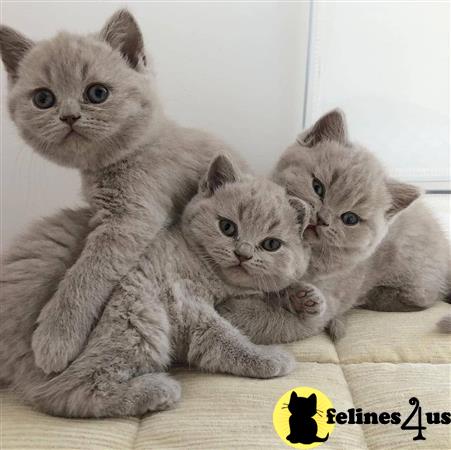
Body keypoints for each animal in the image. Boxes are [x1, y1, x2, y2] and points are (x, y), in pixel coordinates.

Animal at [0, 8, 247, 374]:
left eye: (97, 93)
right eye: (43, 99)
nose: (69, 116)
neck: (138, 148)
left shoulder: (131, 218)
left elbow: (86, 274)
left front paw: (55, 338)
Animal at [0, 156, 310, 420]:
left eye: (271, 244)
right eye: (227, 227)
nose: (243, 254)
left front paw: (303, 303)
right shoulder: (180, 299)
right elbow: (223, 336)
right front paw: (269, 358)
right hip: (135, 314)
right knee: (62, 392)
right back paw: (157, 389)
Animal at [220, 109, 451, 342]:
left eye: (350, 219)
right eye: (317, 187)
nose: (322, 218)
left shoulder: (324, 303)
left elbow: (275, 322)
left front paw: (228, 310)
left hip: (412, 276)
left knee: (419, 300)